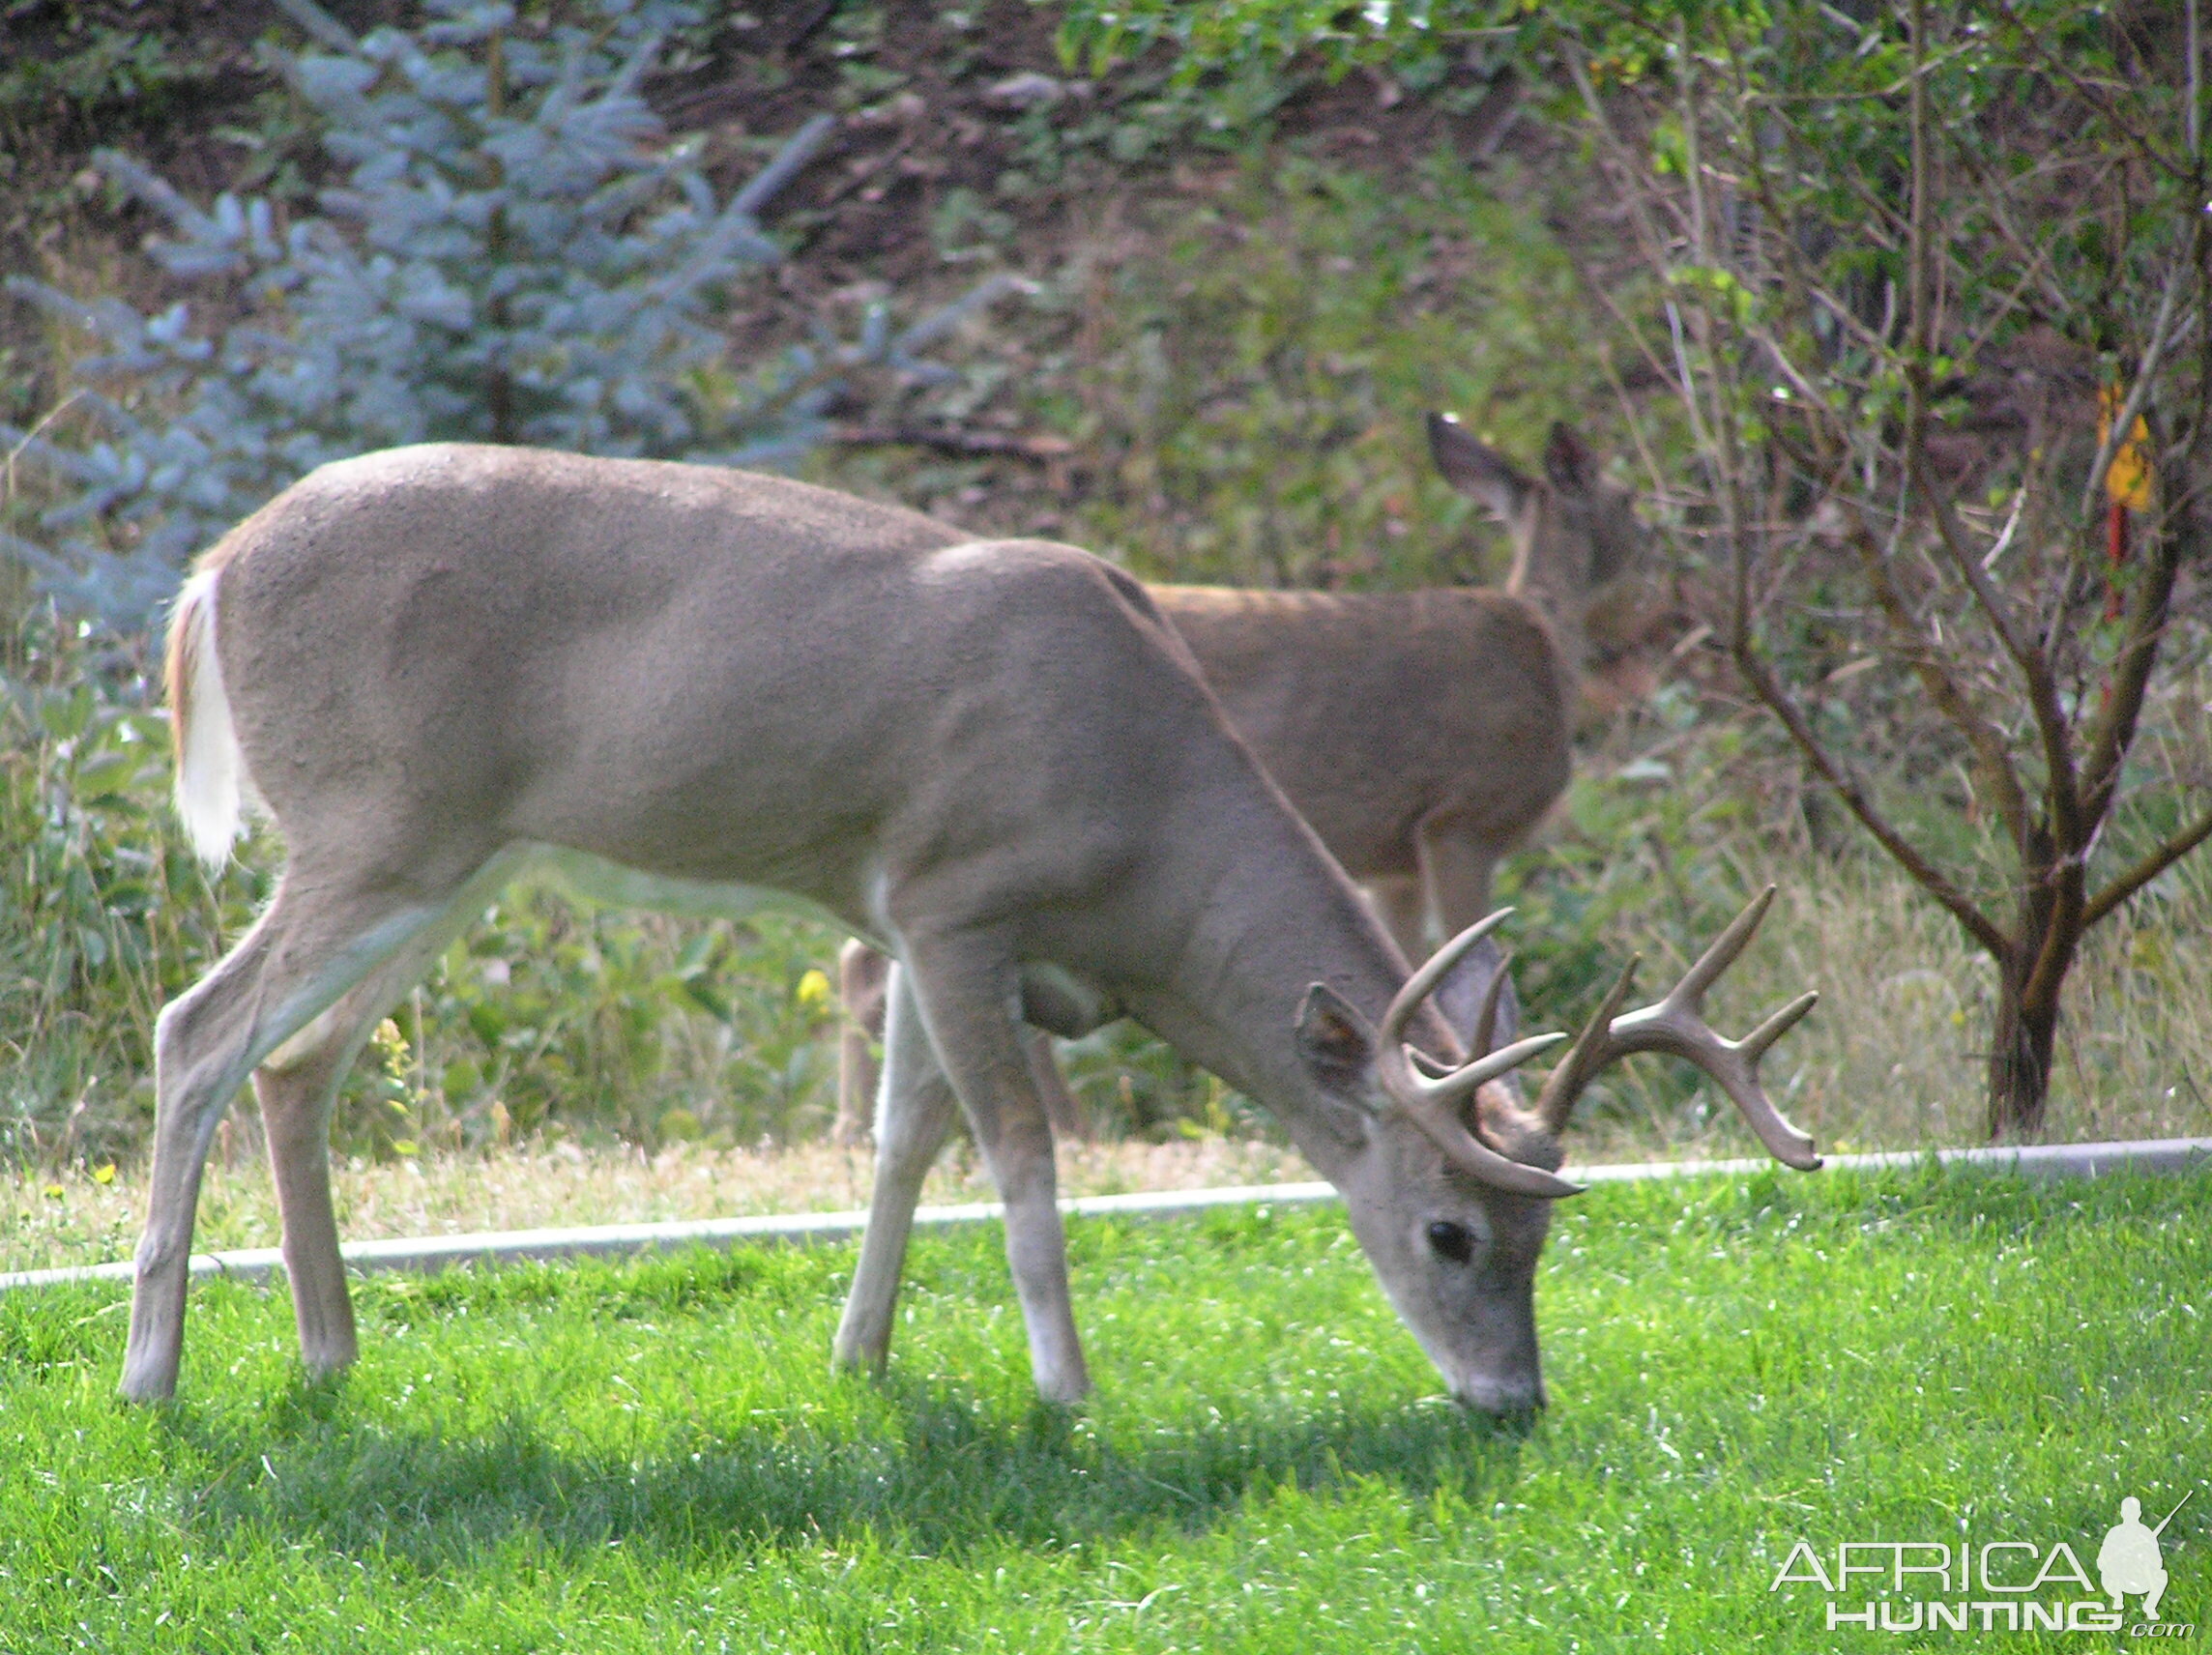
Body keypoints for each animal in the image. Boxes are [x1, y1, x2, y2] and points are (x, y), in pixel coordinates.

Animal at [835, 411, 1654, 1142]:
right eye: (1626, 498)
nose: (1657, 542)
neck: (1546, 641)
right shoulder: (1462, 819)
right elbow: (1480, 980)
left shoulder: (1393, 860)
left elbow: (1411, 978)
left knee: (865, 957)